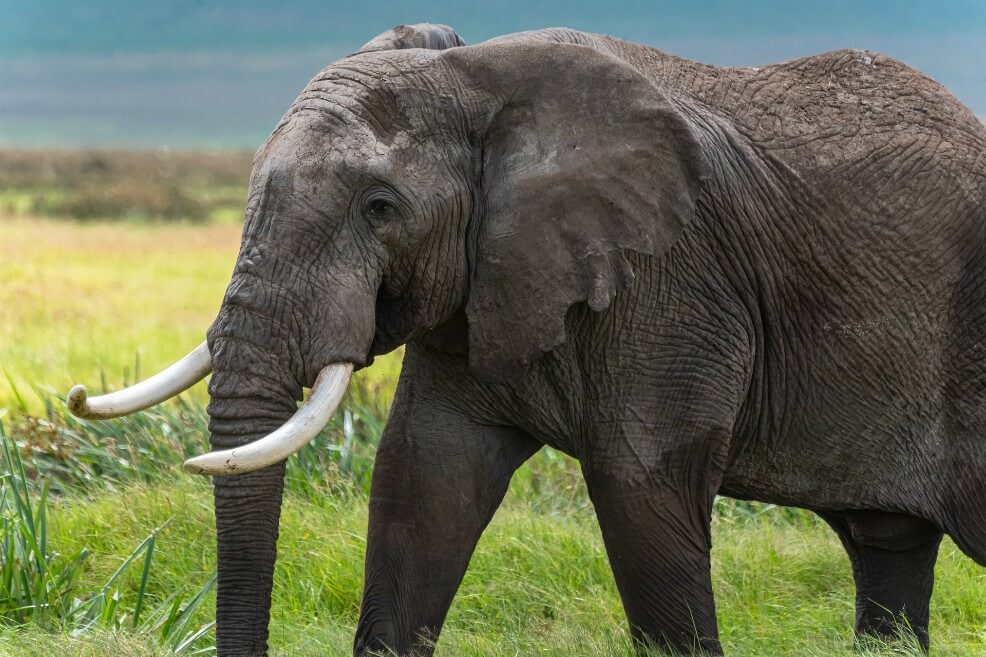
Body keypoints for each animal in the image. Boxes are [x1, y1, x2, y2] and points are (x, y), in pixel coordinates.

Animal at [66, 22, 986, 657]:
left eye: (380, 208)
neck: (472, 78)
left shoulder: (671, 280)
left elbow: (640, 488)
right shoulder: (479, 288)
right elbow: (422, 481)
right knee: (888, 549)